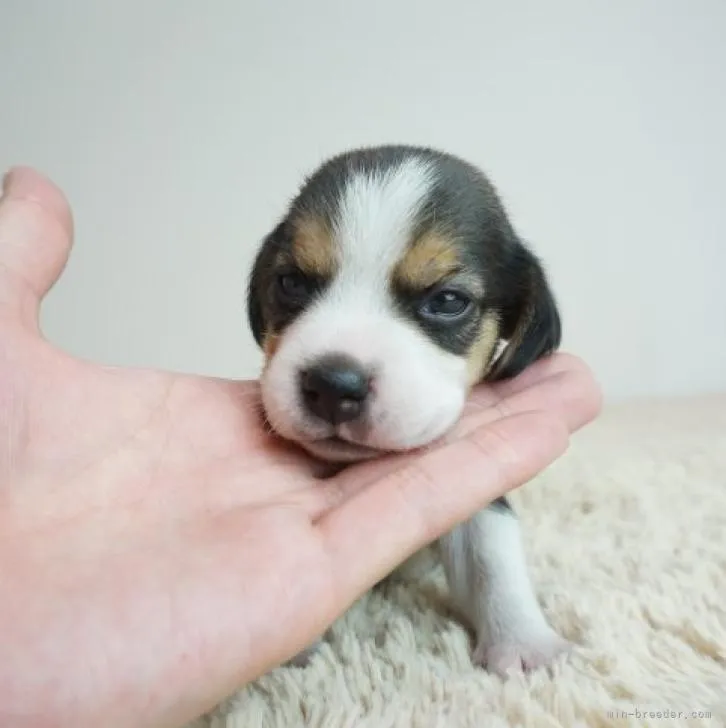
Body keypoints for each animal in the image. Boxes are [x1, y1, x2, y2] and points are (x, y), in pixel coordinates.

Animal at [247, 144, 572, 676]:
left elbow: (493, 557)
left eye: (448, 300)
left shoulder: (479, 491)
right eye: (290, 282)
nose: (333, 385)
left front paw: (524, 643)